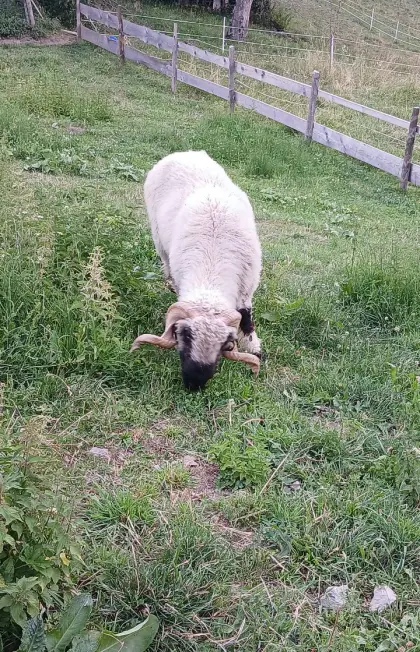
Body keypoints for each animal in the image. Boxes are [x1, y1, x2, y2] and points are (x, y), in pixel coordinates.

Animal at [131, 150, 262, 390]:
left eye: (223, 344)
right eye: (185, 335)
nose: (195, 382)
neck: (211, 267)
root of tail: (184, 152)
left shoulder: (247, 288)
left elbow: (247, 319)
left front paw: (255, 349)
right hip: (159, 242)